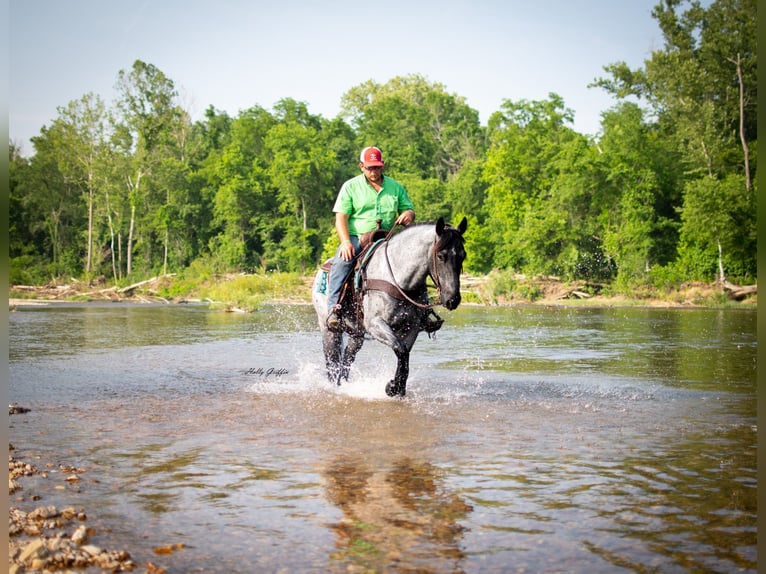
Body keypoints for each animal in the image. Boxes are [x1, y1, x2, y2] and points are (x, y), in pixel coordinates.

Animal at [312, 218, 468, 398]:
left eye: (463, 256)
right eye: (441, 256)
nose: (453, 299)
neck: (398, 279)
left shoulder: (412, 328)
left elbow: (405, 356)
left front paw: (398, 388)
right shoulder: (376, 324)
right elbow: (400, 350)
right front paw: (392, 386)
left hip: (357, 334)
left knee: (347, 358)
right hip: (328, 328)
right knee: (331, 359)